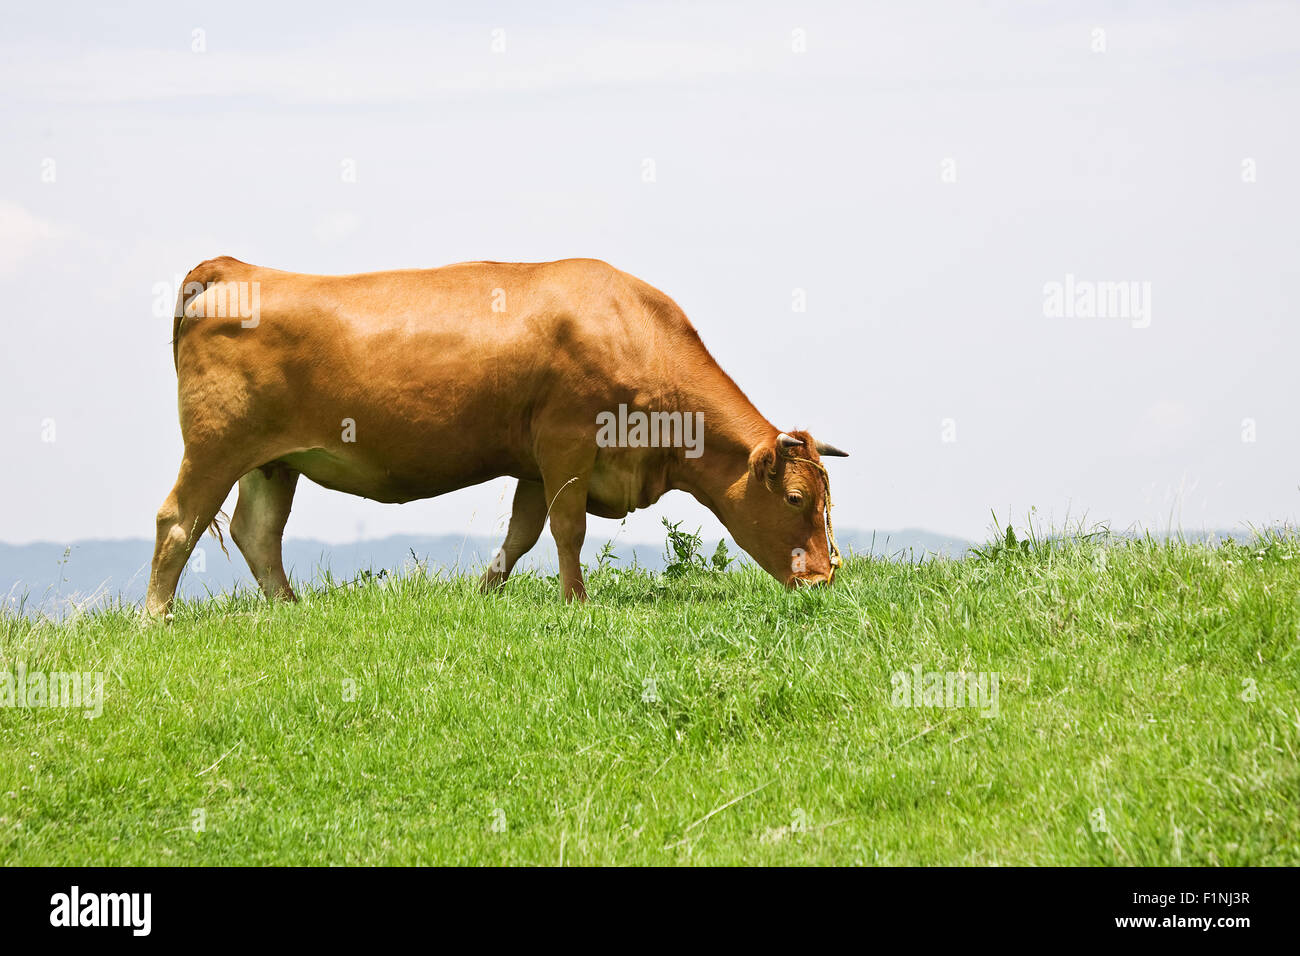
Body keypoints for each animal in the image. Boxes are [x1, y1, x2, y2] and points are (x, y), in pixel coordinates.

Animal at [145, 257, 848, 617]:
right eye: (794, 500)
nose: (821, 581)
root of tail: (232, 267)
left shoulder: (535, 464)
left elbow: (523, 531)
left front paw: (485, 592)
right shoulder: (567, 440)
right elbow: (568, 527)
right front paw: (576, 603)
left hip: (275, 460)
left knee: (256, 533)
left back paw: (292, 611)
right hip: (216, 445)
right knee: (179, 521)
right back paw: (158, 618)